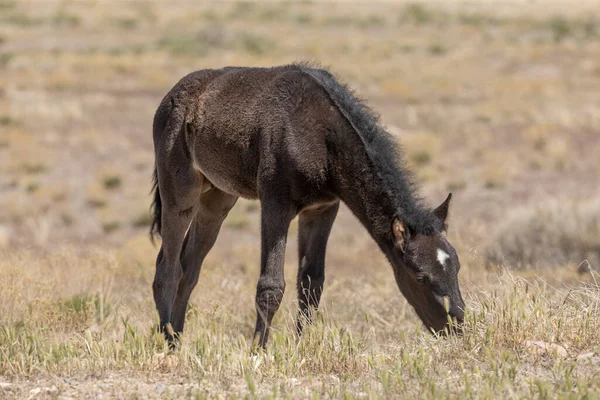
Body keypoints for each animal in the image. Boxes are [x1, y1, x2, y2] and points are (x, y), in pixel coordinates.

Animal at [149, 64, 464, 348]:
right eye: (420, 276)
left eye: (457, 267)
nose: (458, 327)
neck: (320, 137)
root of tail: (169, 97)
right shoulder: (275, 205)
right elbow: (271, 285)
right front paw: (258, 352)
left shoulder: (321, 210)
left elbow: (311, 283)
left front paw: (301, 347)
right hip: (180, 193)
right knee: (168, 268)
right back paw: (166, 342)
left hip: (218, 198)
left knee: (189, 267)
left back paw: (177, 340)